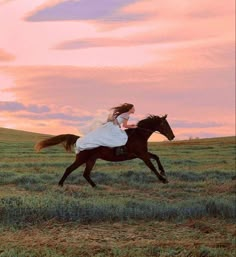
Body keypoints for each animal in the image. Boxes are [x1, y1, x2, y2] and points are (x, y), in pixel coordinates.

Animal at [35, 114, 175, 186]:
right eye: (165, 124)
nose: (172, 136)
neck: (139, 135)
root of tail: (80, 139)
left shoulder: (142, 154)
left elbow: (156, 157)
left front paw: (163, 173)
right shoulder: (142, 155)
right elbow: (152, 166)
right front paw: (163, 179)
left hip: (91, 159)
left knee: (86, 174)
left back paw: (95, 186)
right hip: (82, 158)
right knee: (69, 169)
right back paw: (60, 184)